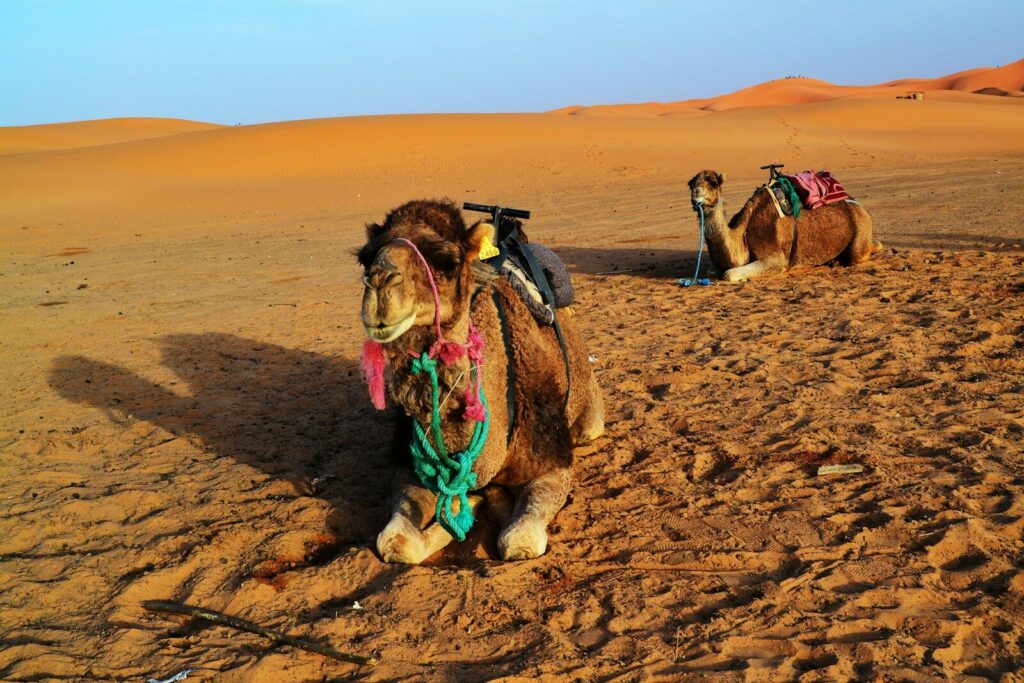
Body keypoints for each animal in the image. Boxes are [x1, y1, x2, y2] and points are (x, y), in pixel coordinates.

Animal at [356, 199, 604, 563]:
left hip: (589, 415)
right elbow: (396, 542)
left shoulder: (552, 461)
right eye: (365, 257)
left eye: (447, 261)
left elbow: (518, 541)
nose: (379, 283)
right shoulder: (408, 466)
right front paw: (466, 503)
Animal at [687, 170, 882, 282]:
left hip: (861, 233)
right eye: (691, 184)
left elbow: (729, 274)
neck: (743, 234)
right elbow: (712, 272)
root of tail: (862, 208)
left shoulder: (775, 257)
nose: (696, 193)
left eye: (714, 183)